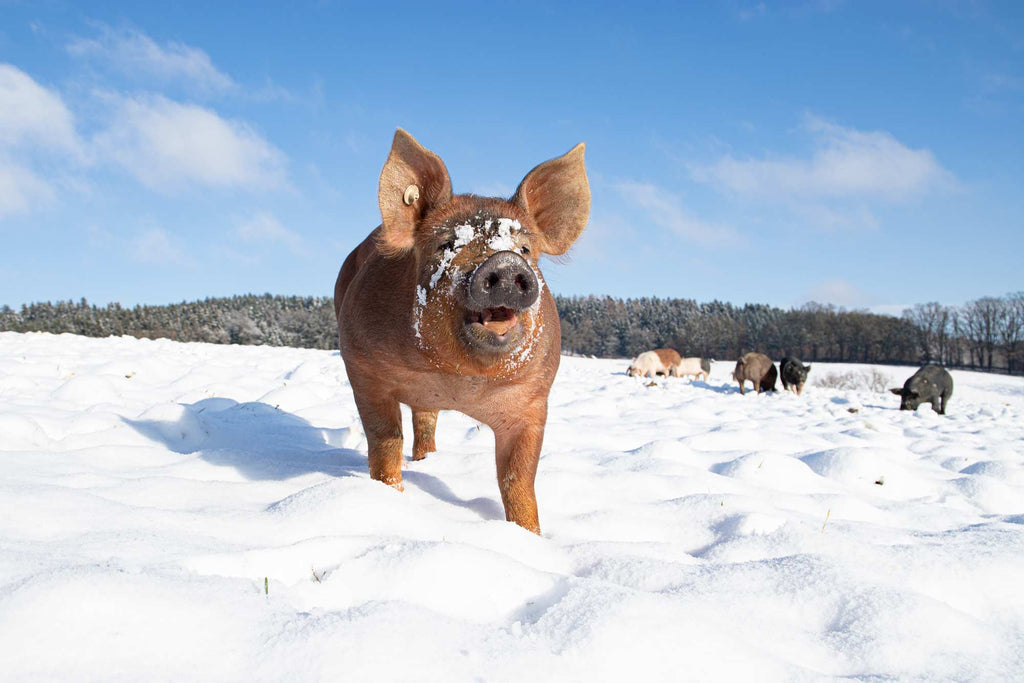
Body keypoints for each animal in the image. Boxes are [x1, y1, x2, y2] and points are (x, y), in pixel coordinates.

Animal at [335, 127, 593, 532]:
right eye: (446, 244)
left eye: (525, 248)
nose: (505, 263)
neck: (455, 382)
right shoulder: (361, 366)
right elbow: (384, 442)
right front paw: (390, 498)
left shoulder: (534, 399)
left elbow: (518, 477)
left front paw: (529, 535)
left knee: (426, 419)